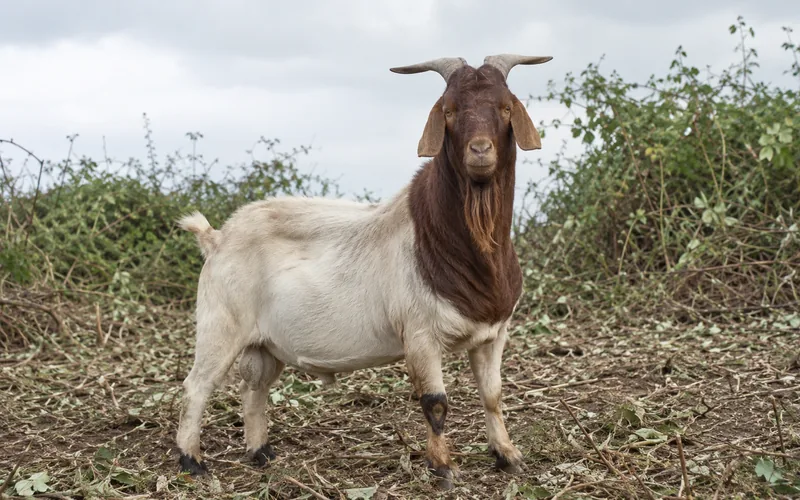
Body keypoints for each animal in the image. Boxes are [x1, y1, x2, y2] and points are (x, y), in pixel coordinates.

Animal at [175, 54, 552, 490]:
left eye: (506, 107)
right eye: (449, 110)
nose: (479, 151)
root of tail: (216, 237)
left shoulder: (493, 334)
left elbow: (493, 394)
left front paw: (508, 456)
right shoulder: (420, 335)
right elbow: (436, 404)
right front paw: (443, 468)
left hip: (264, 342)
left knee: (254, 389)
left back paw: (260, 452)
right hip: (221, 324)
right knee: (198, 385)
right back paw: (190, 460)